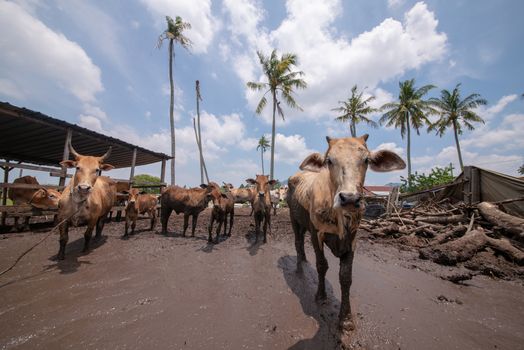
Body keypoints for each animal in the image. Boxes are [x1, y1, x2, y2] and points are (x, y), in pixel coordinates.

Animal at [286, 135, 406, 332]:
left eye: (366, 160)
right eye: (329, 160)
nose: (349, 198)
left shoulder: (352, 239)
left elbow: (346, 277)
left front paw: (346, 318)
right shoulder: (316, 233)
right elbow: (322, 265)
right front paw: (321, 296)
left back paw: (303, 260)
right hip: (294, 218)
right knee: (297, 242)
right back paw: (299, 267)